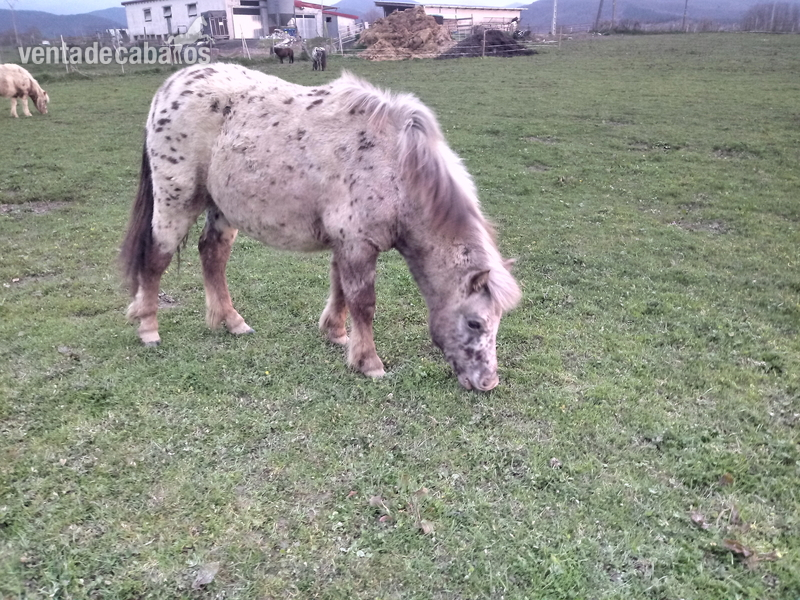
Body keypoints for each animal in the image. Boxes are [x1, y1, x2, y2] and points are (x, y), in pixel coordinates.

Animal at [120, 64, 521, 391]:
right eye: (475, 324)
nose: (488, 382)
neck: (396, 164)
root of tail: (169, 88)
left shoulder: (345, 244)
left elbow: (340, 289)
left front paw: (337, 335)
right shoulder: (357, 244)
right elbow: (363, 302)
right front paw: (369, 363)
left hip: (221, 210)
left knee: (212, 255)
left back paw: (232, 322)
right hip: (176, 201)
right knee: (156, 258)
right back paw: (149, 329)